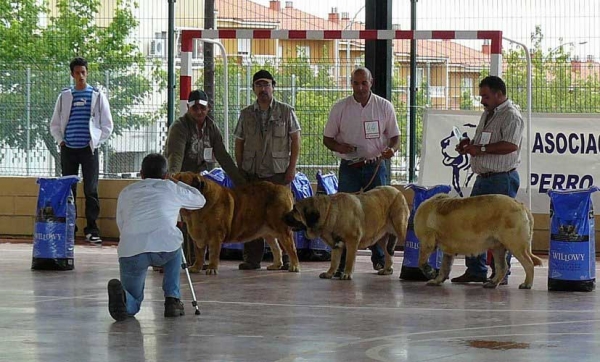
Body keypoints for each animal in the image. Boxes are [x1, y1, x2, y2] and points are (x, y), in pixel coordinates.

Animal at [171, 173, 300, 274]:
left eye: (181, 182)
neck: (196, 211)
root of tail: (285, 189)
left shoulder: (215, 235)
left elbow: (213, 253)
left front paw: (212, 269)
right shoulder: (198, 236)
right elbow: (199, 254)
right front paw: (196, 267)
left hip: (282, 229)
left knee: (291, 248)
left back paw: (294, 266)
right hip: (268, 233)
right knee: (276, 248)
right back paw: (276, 265)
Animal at [412, 194, 544, 290]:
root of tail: (520, 205)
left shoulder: (426, 242)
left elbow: (421, 261)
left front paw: (429, 272)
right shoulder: (448, 251)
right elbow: (444, 267)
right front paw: (437, 280)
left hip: (515, 244)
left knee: (528, 263)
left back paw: (526, 284)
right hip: (498, 248)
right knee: (502, 267)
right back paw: (492, 283)